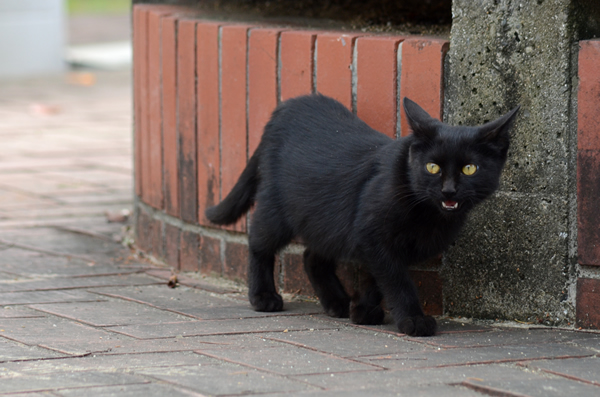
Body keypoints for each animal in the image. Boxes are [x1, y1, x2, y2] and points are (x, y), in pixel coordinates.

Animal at [205, 94, 516, 336]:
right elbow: (396, 280)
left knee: (311, 256)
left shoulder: (372, 242)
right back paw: (263, 297)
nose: (449, 190)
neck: (427, 212)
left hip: (325, 221)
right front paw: (413, 319)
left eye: (469, 169)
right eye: (432, 167)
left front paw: (363, 311)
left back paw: (337, 303)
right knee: (259, 243)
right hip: (277, 208)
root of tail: (284, 108)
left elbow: (376, 279)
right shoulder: (373, 236)